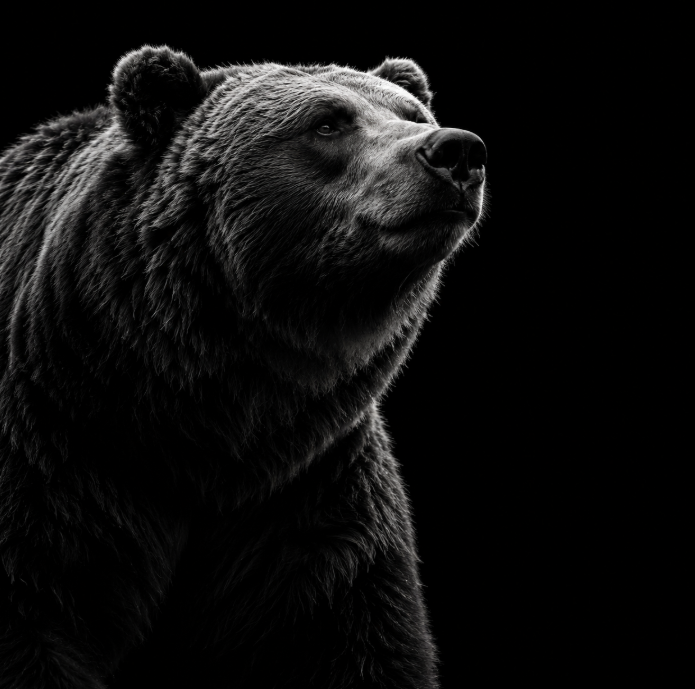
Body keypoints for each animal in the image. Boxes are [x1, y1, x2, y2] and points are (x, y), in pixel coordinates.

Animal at [0, 45, 487, 688]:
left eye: (414, 114)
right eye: (327, 123)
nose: (457, 150)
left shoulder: (307, 493)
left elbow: (358, 634)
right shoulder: (56, 461)